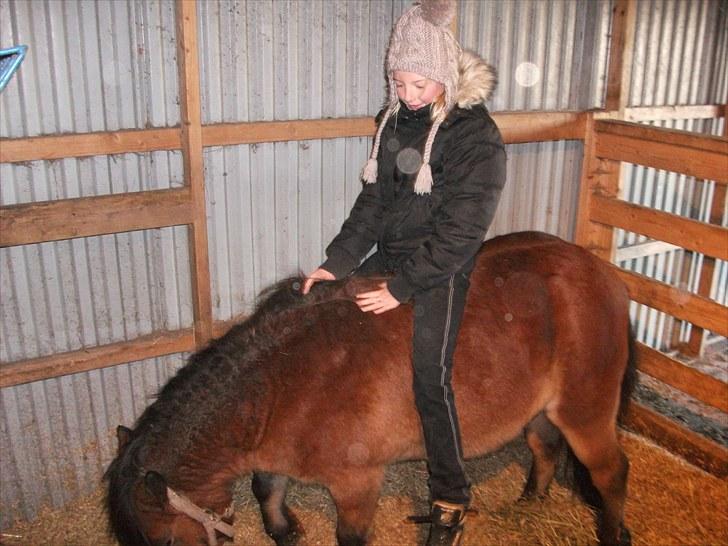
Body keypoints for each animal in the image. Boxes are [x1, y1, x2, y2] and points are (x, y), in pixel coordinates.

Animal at [105, 232, 636, 544]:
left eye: (165, 542)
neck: (287, 381)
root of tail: (598, 270)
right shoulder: (273, 449)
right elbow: (266, 488)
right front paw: (284, 529)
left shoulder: (357, 482)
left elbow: (350, 537)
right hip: (541, 410)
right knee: (544, 448)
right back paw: (529, 503)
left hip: (586, 411)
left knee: (611, 473)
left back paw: (613, 534)